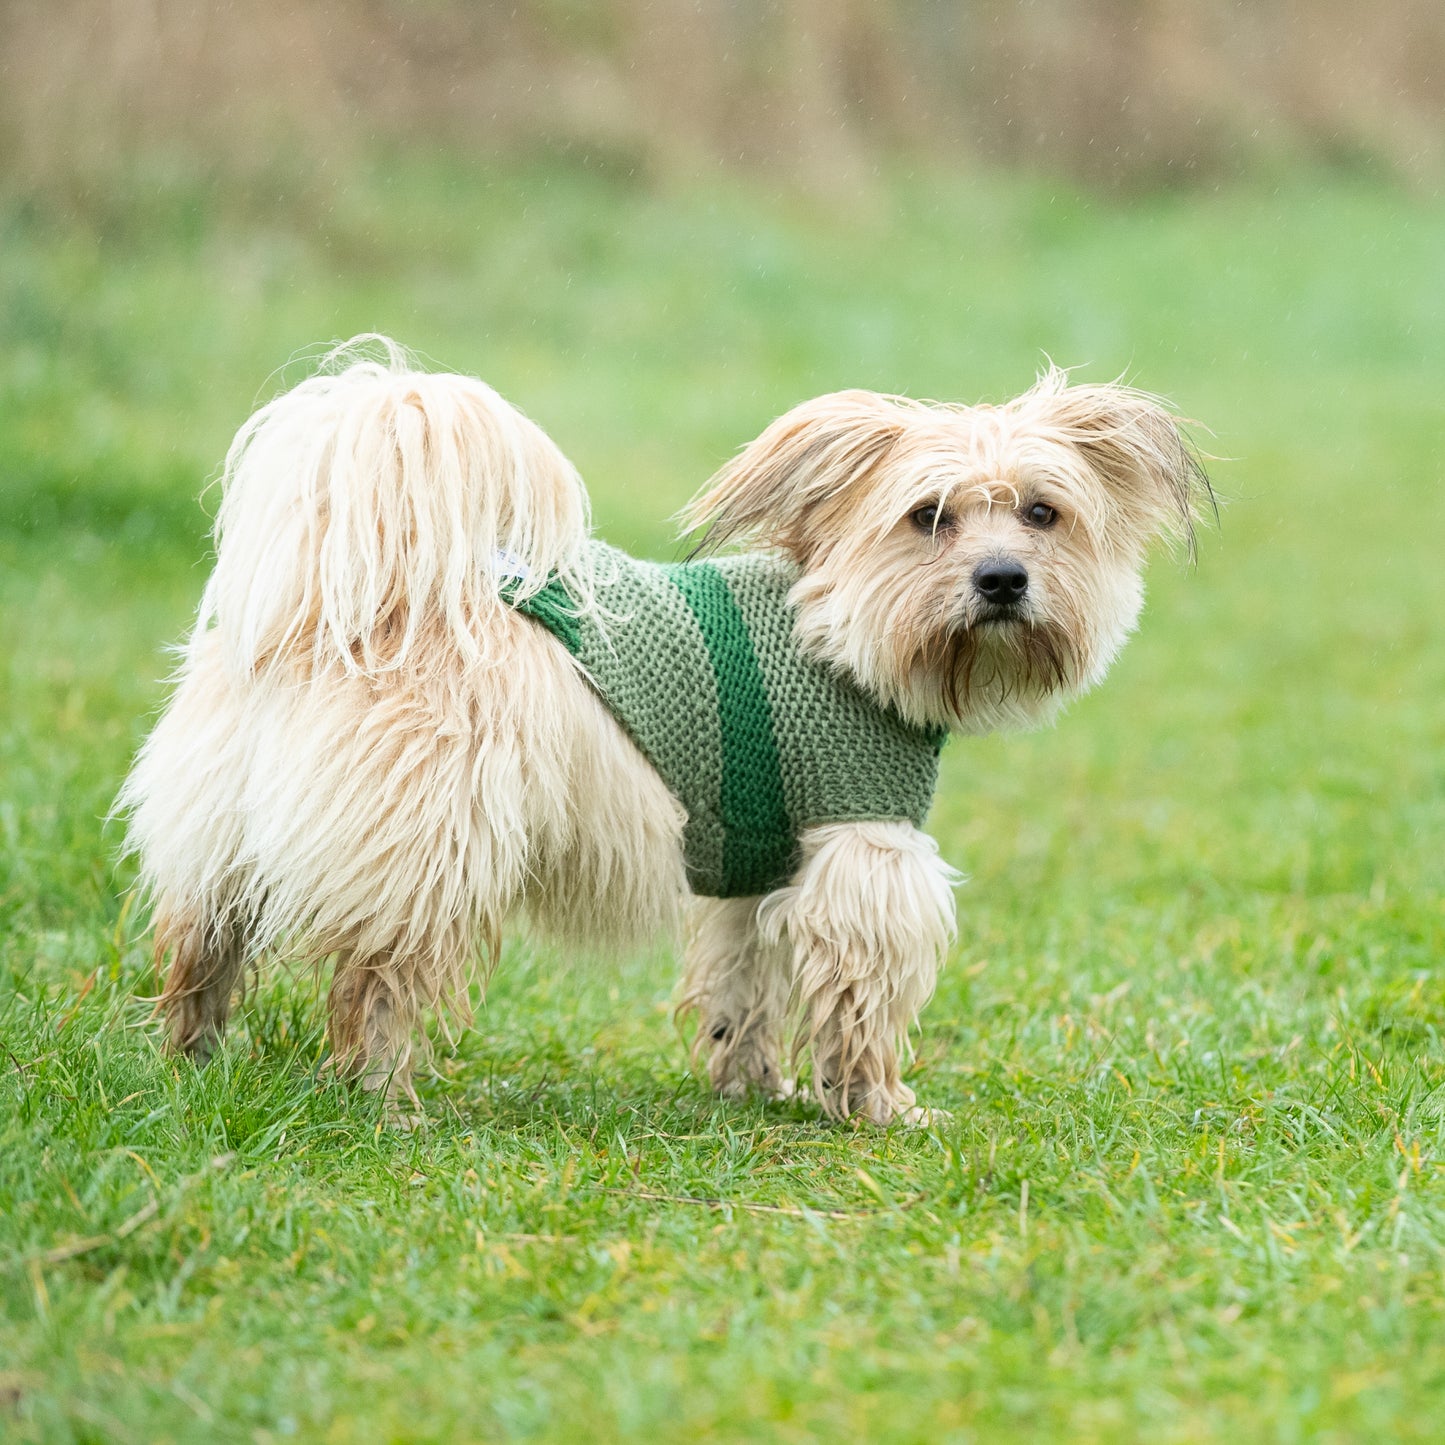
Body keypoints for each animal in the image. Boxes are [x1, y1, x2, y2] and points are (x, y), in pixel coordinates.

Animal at [121, 341, 1208, 1127]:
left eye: (1043, 512)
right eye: (927, 516)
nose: (1001, 579)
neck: (837, 629)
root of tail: (337, 609)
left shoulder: (763, 871)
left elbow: (743, 987)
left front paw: (754, 1086)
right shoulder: (864, 852)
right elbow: (860, 999)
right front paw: (876, 1105)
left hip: (221, 841)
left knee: (200, 954)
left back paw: (192, 1066)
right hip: (430, 850)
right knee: (373, 981)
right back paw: (386, 1100)